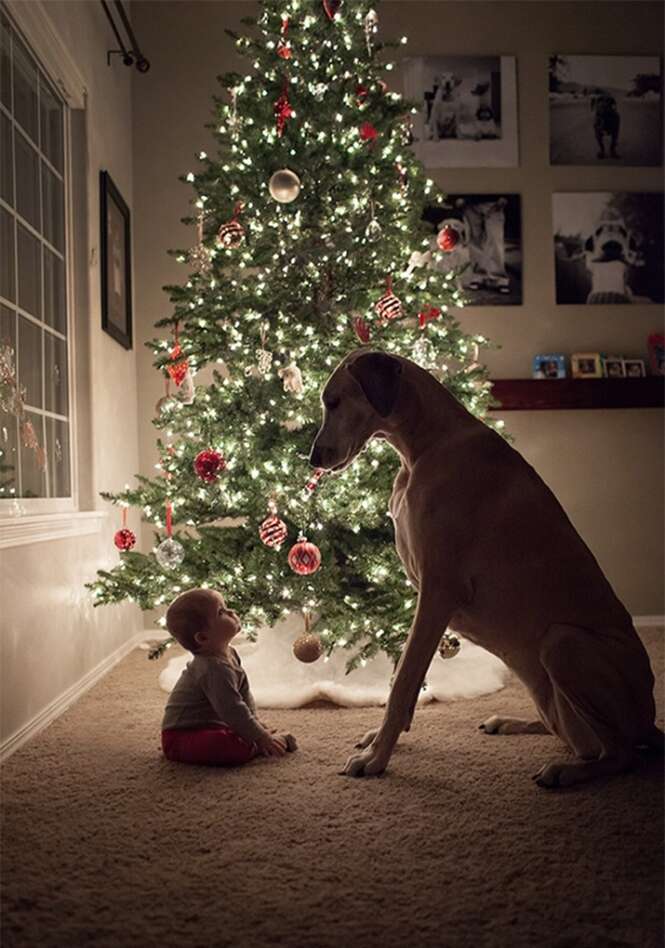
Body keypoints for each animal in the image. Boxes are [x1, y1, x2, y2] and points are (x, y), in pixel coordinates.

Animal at [308, 352, 660, 788]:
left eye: (334, 401)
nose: (312, 458)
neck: (425, 444)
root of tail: (650, 722)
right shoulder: (426, 596)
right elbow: (404, 680)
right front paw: (381, 741)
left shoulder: (438, 592)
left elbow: (404, 680)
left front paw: (376, 758)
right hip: (551, 694)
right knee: (578, 738)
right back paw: (510, 723)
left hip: (563, 643)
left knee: (621, 753)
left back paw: (565, 772)